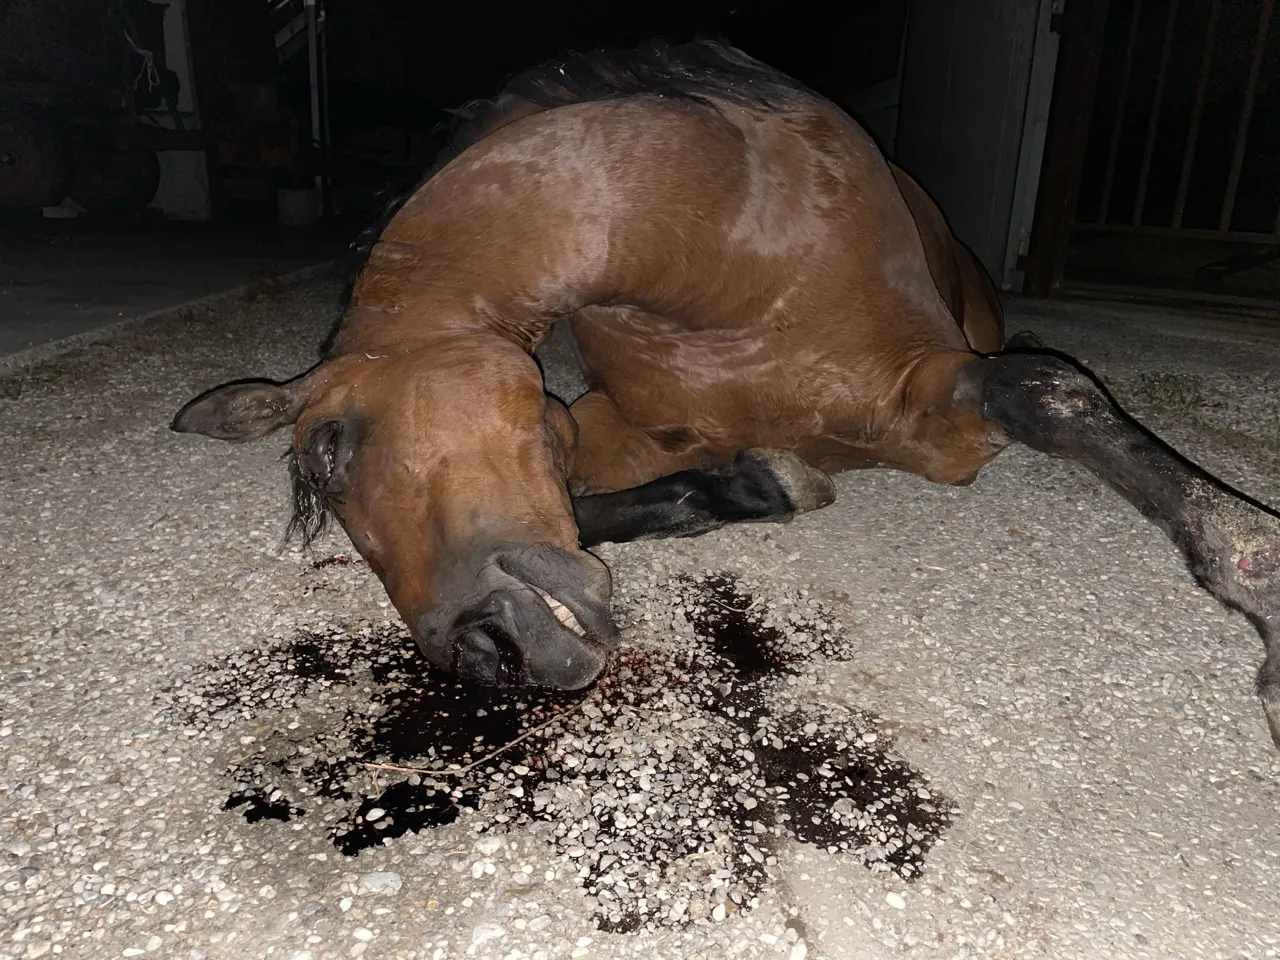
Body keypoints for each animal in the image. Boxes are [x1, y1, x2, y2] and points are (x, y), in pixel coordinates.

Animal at [172, 40, 1280, 746]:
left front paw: (1257, 590)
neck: (726, 258)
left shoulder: (939, 422)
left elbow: (1053, 396)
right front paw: (752, 486)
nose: (487, 655)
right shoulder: (614, 429)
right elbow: (627, 495)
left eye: (332, 449)